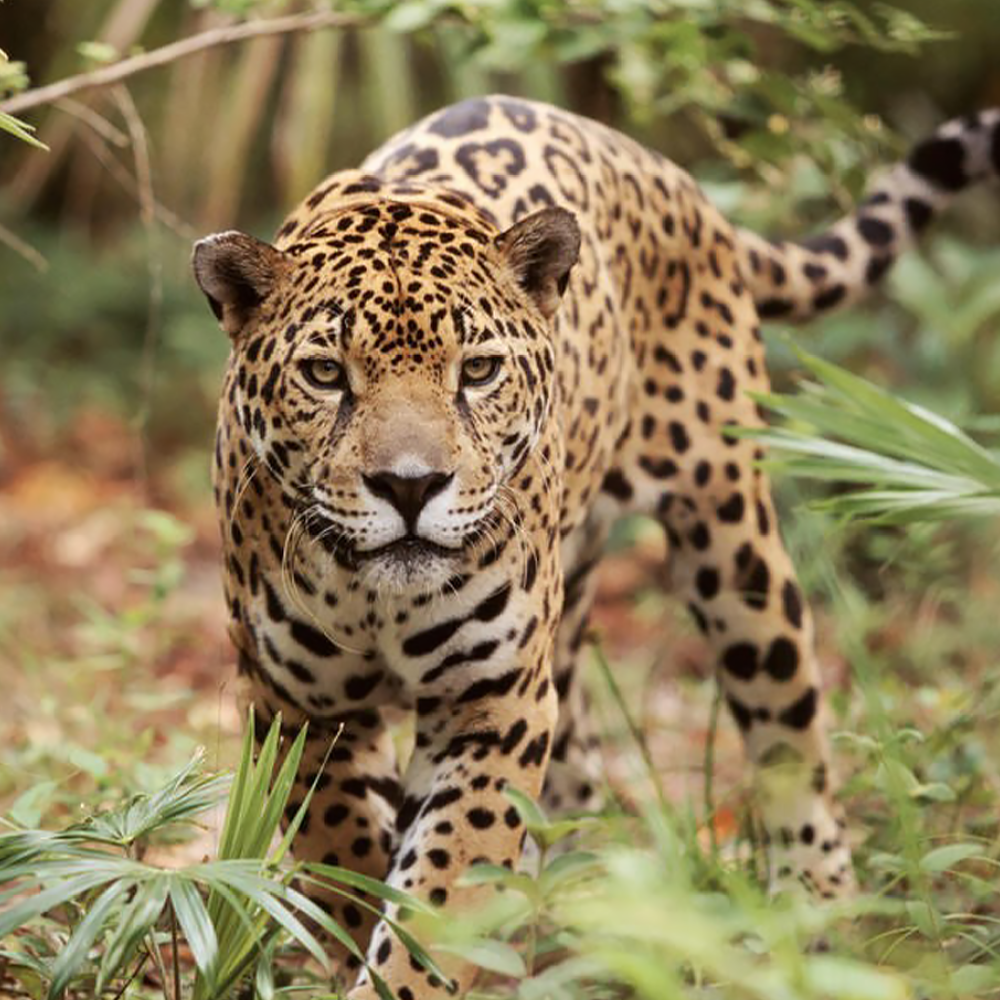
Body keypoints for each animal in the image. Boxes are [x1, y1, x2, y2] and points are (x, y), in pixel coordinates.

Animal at [192, 96, 1000, 998]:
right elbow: (342, 846)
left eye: (478, 371)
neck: (380, 602)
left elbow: (443, 884)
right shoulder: (292, 700)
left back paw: (816, 920)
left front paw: (407, 961)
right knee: (576, 772)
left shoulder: (495, 702)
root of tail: (664, 172)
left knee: (791, 732)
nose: (410, 485)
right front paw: (362, 927)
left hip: (734, 546)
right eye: (327, 374)